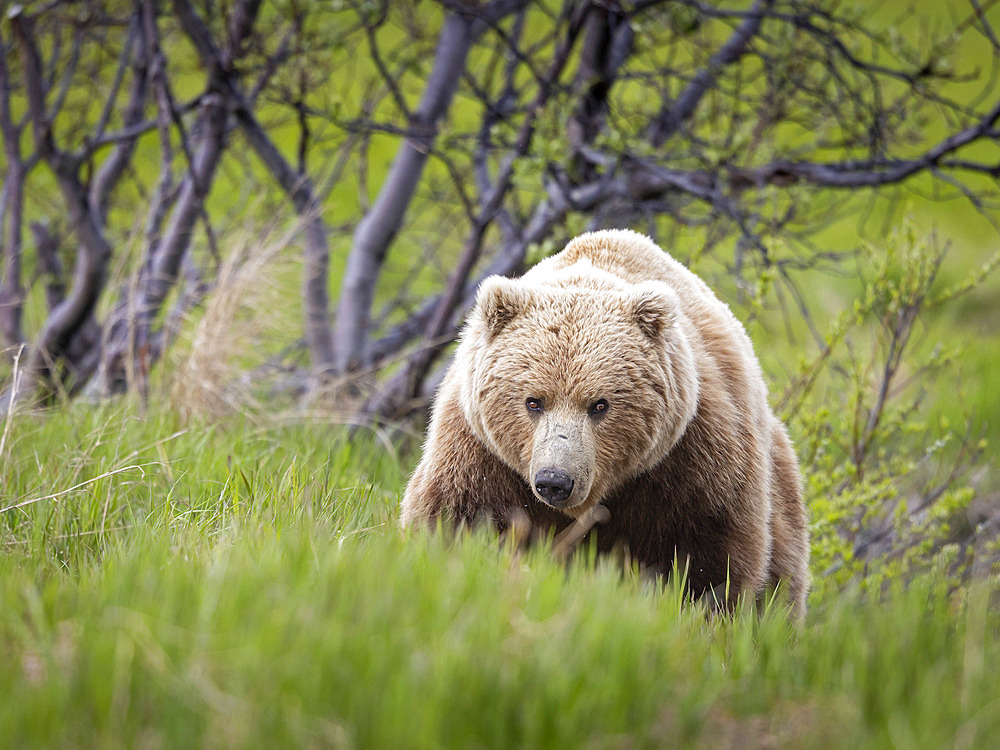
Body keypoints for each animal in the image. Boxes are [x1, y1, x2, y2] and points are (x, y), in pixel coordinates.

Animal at [402, 232, 808, 620]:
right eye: (533, 401)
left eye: (600, 404)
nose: (555, 481)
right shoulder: (481, 455)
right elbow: (455, 523)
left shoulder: (694, 462)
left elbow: (709, 564)